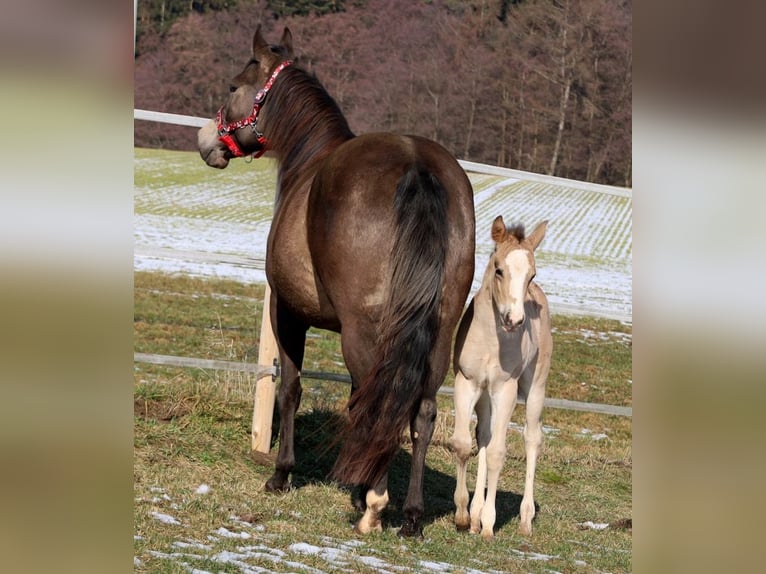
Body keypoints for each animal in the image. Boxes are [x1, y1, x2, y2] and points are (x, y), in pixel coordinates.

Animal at [197, 26, 475, 538]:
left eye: (232, 86)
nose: (207, 140)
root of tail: (417, 165)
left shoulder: (287, 313)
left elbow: (290, 388)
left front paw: (282, 474)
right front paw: (357, 484)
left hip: (363, 331)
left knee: (381, 406)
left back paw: (375, 508)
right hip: (439, 334)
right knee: (419, 410)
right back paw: (409, 515)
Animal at [450, 216, 551, 539]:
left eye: (531, 274)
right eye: (498, 269)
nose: (514, 320)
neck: (490, 338)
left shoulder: (505, 389)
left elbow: (497, 453)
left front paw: (489, 524)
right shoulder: (466, 382)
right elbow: (463, 444)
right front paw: (463, 515)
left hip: (535, 386)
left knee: (532, 437)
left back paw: (525, 519)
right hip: (484, 395)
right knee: (483, 434)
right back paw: (475, 514)